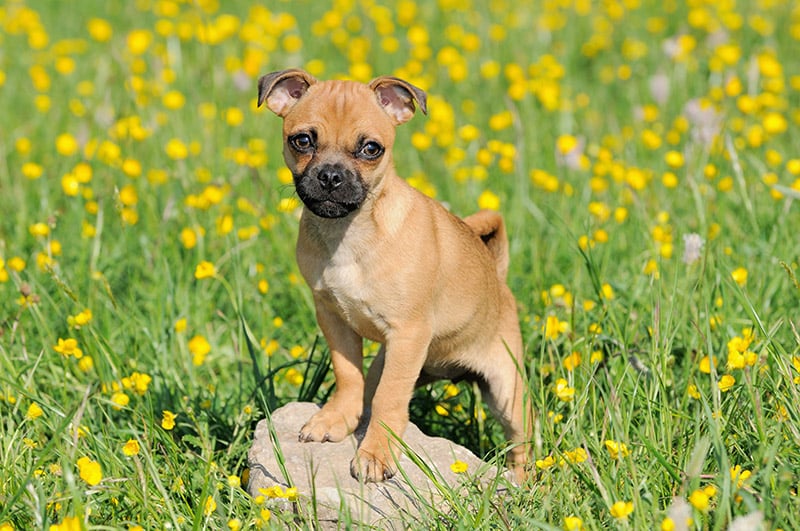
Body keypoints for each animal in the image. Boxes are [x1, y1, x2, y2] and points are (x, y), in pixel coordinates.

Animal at [258, 68, 532, 484]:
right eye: (302, 141)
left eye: (371, 149)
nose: (331, 176)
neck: (349, 233)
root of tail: (496, 276)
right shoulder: (334, 320)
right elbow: (349, 375)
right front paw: (336, 418)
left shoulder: (408, 334)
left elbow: (390, 398)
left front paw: (376, 454)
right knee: (371, 387)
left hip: (507, 391)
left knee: (521, 445)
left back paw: (524, 480)